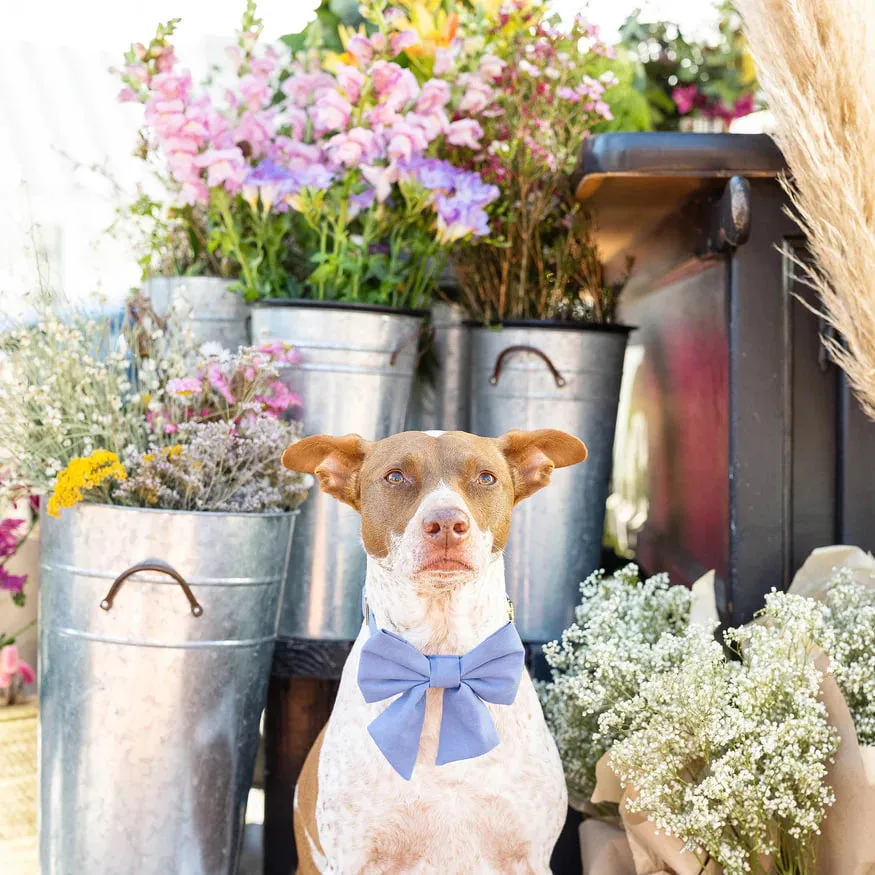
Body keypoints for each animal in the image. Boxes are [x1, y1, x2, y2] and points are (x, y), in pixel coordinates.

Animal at [282, 428, 588, 872]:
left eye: (486, 477)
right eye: (395, 477)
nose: (446, 522)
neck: (443, 661)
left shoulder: (530, 856)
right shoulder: (353, 858)